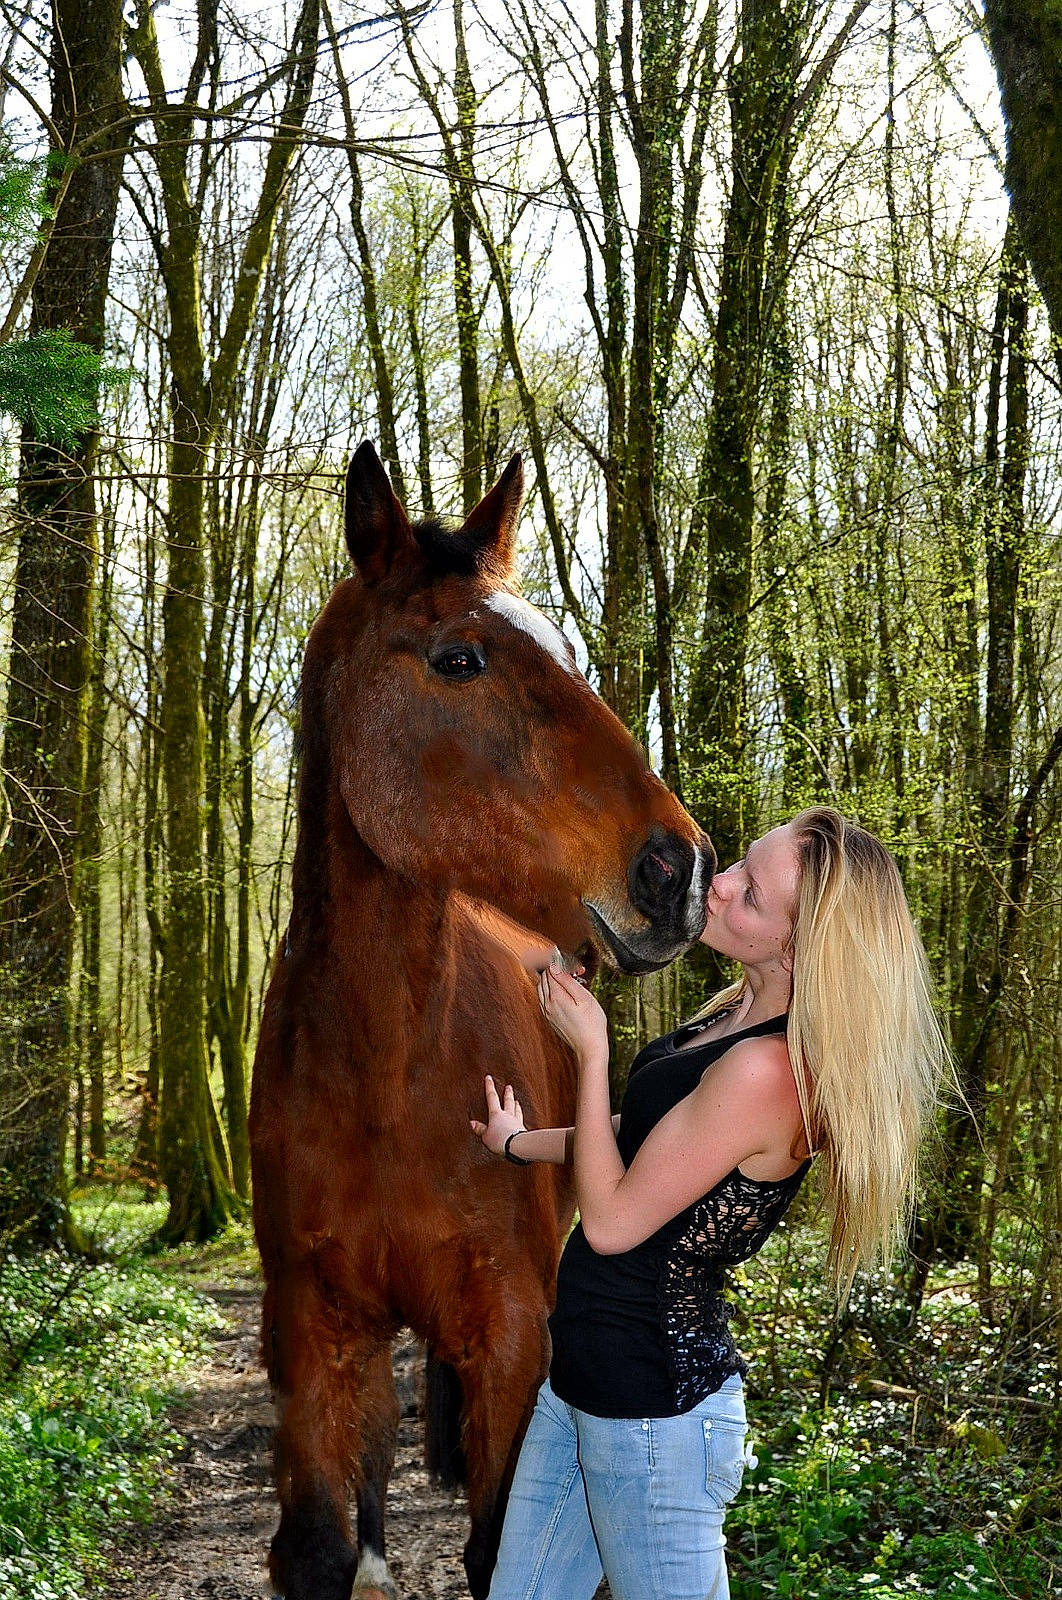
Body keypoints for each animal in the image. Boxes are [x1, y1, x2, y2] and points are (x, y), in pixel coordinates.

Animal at [250, 442, 714, 1600]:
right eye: (458, 660)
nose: (678, 869)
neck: (383, 1079)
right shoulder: (314, 1332)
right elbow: (325, 1540)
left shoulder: (510, 1333)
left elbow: (502, 1544)